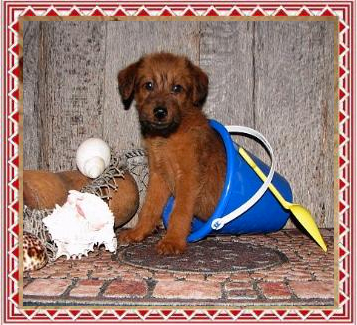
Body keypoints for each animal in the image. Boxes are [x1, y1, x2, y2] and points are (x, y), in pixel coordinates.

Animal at [117, 52, 225, 253]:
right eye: (148, 85)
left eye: (177, 88)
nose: (160, 112)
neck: (166, 138)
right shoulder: (158, 176)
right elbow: (149, 207)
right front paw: (138, 232)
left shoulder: (188, 178)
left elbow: (179, 212)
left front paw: (173, 240)